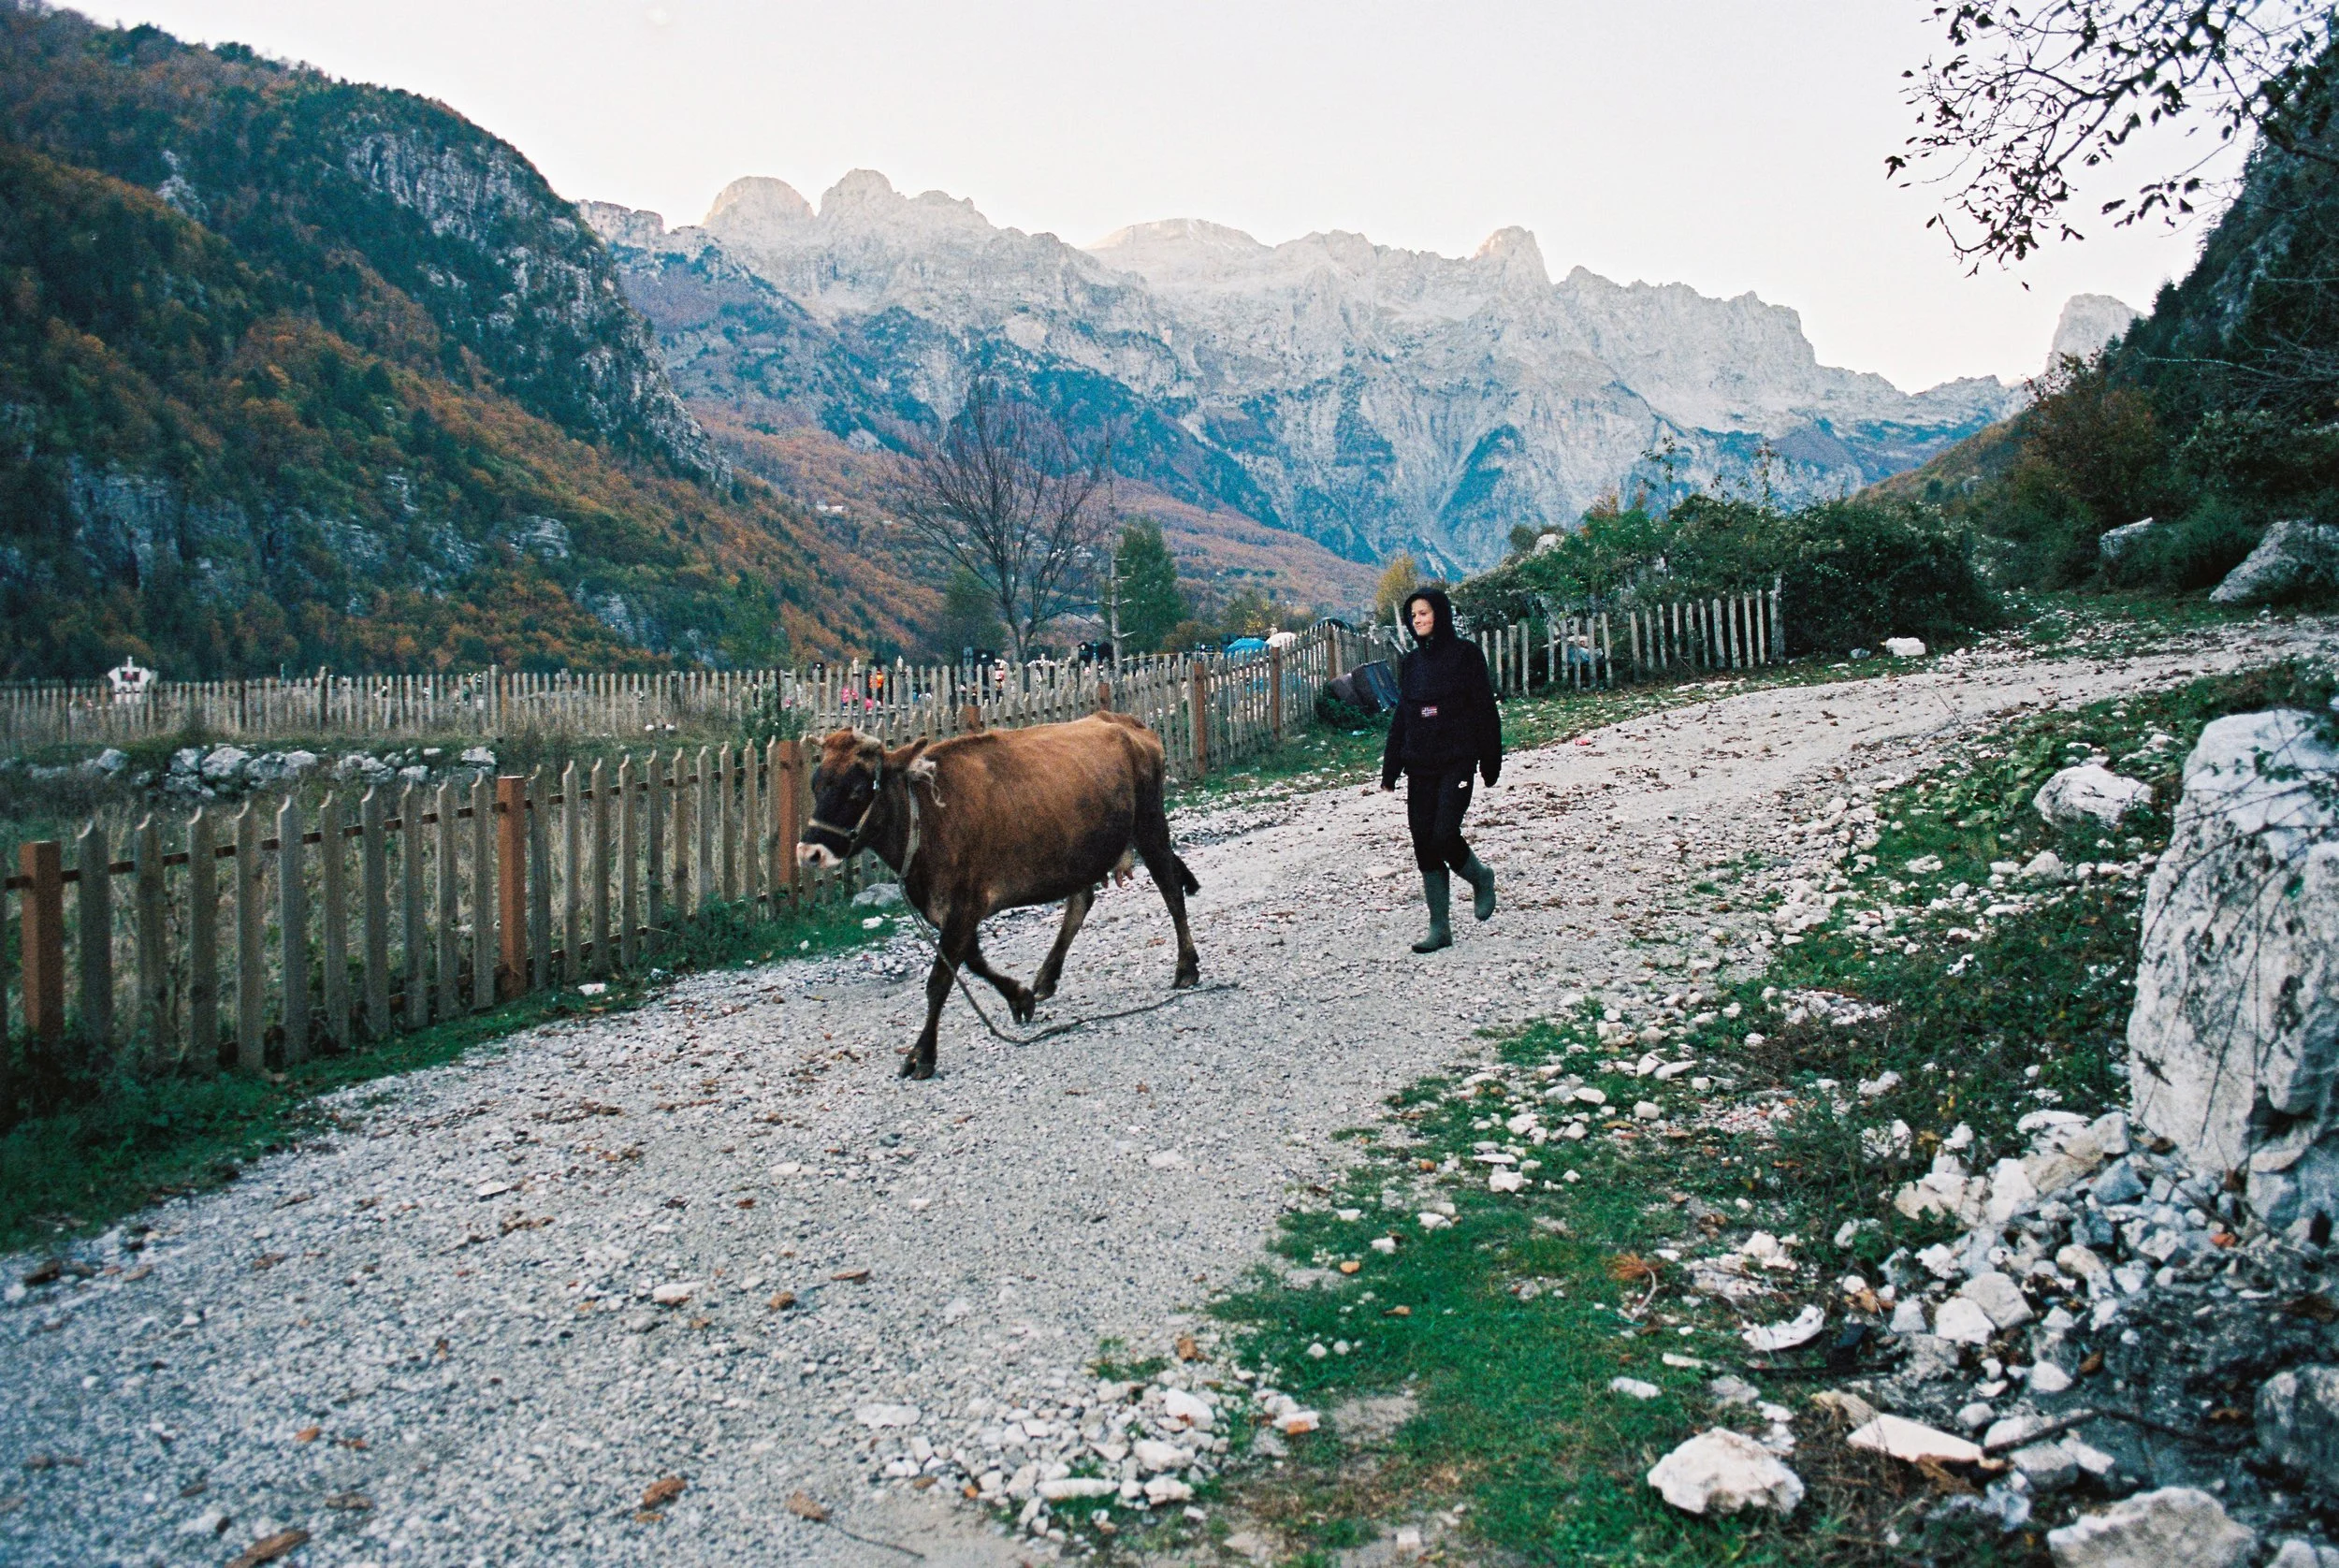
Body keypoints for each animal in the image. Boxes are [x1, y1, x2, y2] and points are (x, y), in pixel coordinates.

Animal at [794, 712, 1201, 1079]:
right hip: (1080, 853)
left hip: (1150, 825)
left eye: (857, 790)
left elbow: (940, 980)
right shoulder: (952, 910)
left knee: (1170, 889)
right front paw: (1018, 997)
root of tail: (1124, 721)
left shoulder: (963, 905)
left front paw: (922, 1055)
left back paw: (1186, 968)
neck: (927, 818)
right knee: (1080, 903)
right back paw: (1046, 978)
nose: (809, 852)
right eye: (815, 784)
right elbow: (973, 962)